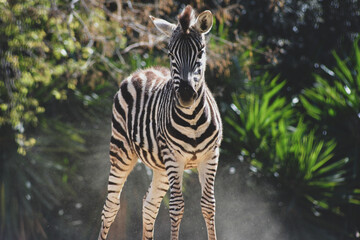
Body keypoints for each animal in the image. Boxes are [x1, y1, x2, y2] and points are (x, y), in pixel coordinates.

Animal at [98, 5, 222, 240]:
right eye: (171, 54)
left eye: (200, 52)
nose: (186, 95)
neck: (192, 118)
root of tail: (140, 71)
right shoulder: (174, 157)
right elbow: (176, 206)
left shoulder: (210, 156)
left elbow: (209, 205)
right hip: (121, 152)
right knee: (110, 206)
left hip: (161, 167)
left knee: (149, 204)